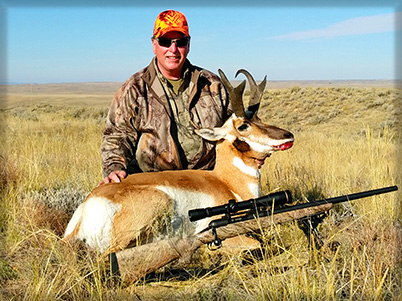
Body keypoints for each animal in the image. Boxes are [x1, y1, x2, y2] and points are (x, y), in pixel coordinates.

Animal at [64, 69, 294, 253]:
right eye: (243, 125)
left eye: (260, 119)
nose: (288, 135)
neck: (226, 182)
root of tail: (85, 209)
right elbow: (255, 243)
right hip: (159, 203)